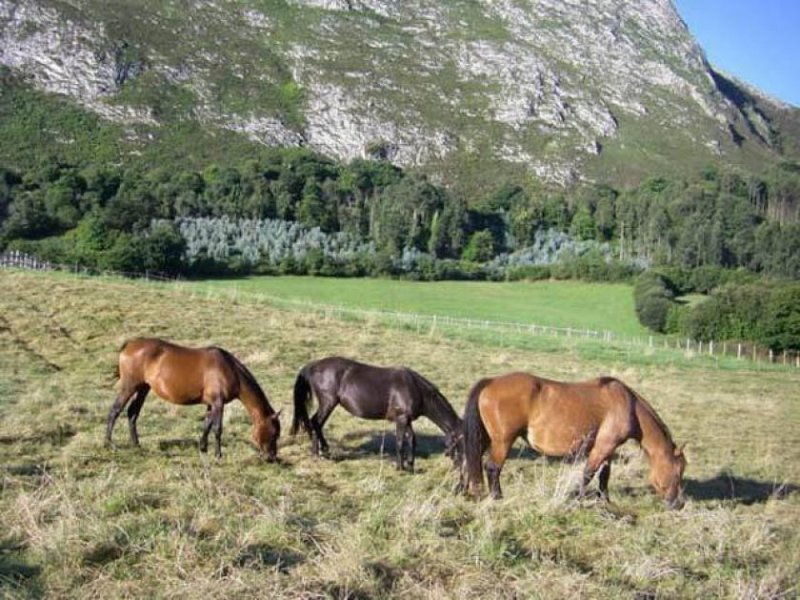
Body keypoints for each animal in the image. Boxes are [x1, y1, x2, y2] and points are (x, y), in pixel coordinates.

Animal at [106, 338, 281, 461]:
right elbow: (217, 429)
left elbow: (206, 425)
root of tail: (130, 344)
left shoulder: (211, 404)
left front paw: (203, 448)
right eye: (274, 433)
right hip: (129, 387)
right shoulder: (218, 403)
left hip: (143, 388)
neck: (229, 369)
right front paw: (218, 455)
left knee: (132, 413)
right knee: (115, 411)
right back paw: (109, 443)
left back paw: (136, 445)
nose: (271, 458)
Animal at [290, 357, 463, 472]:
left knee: (315, 424)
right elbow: (400, 442)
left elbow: (412, 440)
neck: (415, 388)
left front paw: (410, 464)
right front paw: (400, 467)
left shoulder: (406, 420)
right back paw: (319, 452)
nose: (458, 468)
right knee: (316, 423)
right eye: (461, 443)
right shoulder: (401, 419)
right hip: (328, 403)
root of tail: (312, 366)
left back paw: (322, 451)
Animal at [461, 372, 686, 509]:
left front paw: (605, 500)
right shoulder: (603, 446)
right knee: (492, 467)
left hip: (485, 439)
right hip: (502, 442)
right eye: (677, 472)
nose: (678, 503)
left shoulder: (608, 449)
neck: (627, 404)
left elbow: (604, 476)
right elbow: (588, 474)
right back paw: (497, 497)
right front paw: (578, 500)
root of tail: (491, 381)